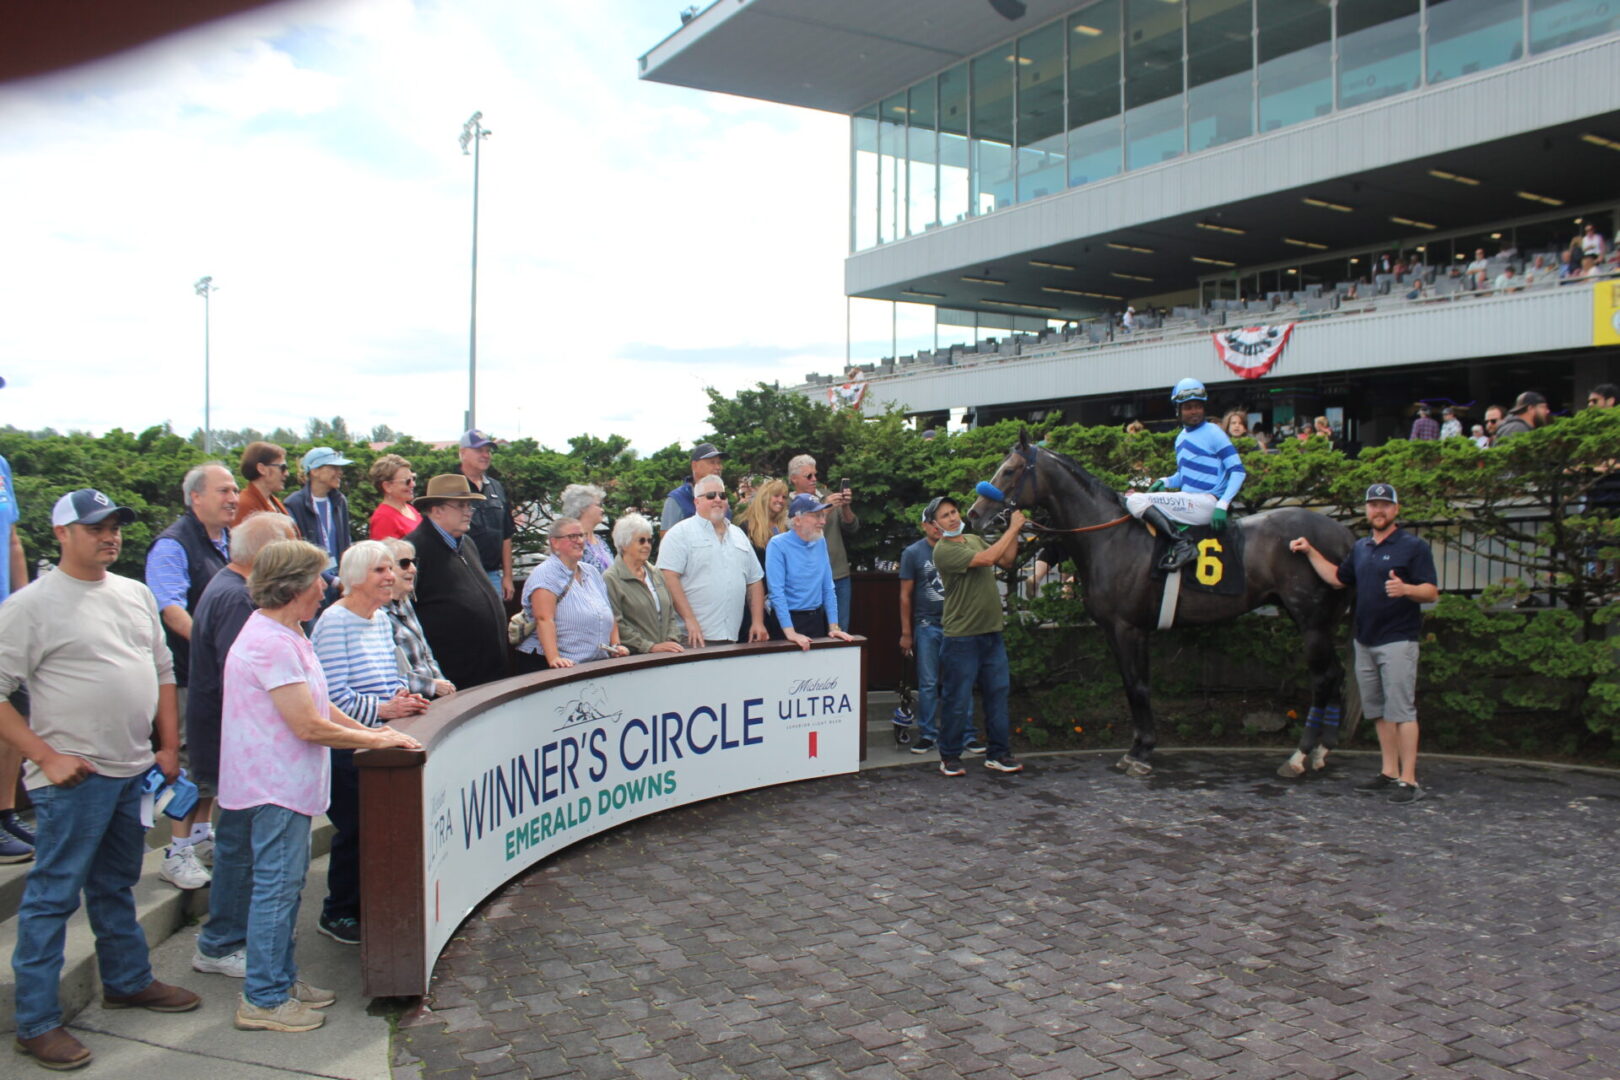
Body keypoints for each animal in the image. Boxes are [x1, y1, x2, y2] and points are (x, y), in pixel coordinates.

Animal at [967, 430, 1356, 777]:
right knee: (1336, 673)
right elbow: (1132, 685)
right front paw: (1137, 747)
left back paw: (1299, 756)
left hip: (1311, 619)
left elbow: (1138, 687)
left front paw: (1141, 753)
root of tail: (1346, 536)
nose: (974, 513)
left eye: (1010, 470)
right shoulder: (1118, 630)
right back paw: (1322, 750)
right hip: (1318, 619)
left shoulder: (1129, 628)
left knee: (1323, 678)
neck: (1110, 537)